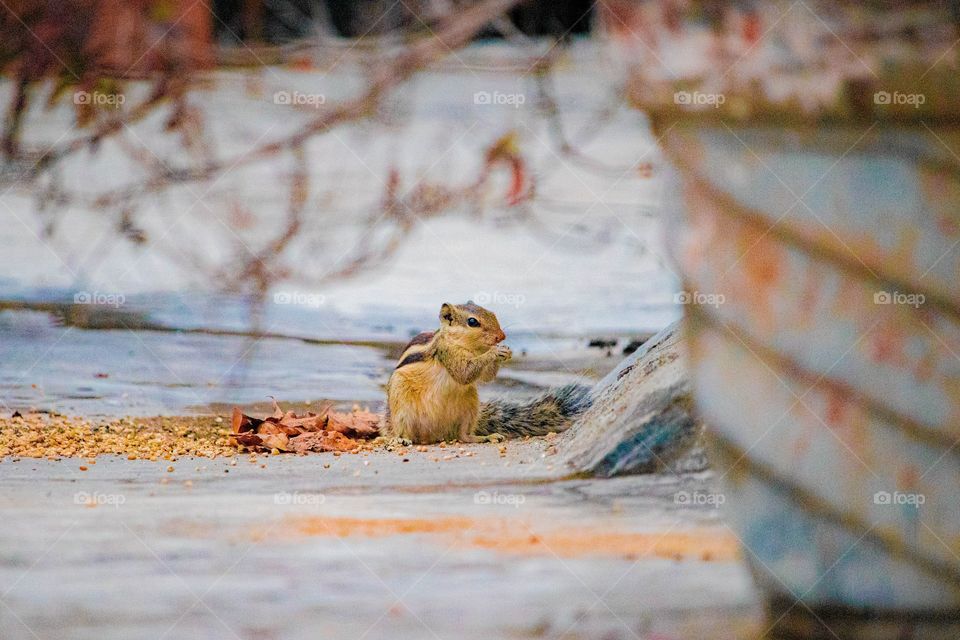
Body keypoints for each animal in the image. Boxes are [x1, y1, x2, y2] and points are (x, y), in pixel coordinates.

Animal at [384, 301, 592, 444]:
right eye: (472, 322)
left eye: (492, 313)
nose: (502, 336)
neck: (471, 348)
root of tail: (434, 435)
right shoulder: (447, 353)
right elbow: (464, 373)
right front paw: (494, 352)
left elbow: (485, 377)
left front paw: (504, 352)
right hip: (402, 408)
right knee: (404, 431)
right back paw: (400, 439)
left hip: (470, 407)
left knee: (463, 436)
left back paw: (482, 438)